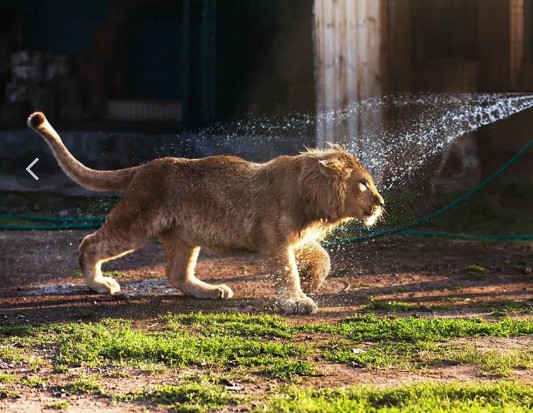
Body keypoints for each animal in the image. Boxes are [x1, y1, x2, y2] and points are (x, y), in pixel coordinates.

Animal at [27, 112, 382, 312]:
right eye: (364, 184)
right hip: (135, 222)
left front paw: (310, 282)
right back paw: (99, 284)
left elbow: (323, 258)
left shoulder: (293, 239)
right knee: (90, 243)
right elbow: (286, 271)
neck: (311, 196)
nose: (380, 202)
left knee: (176, 274)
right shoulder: (274, 241)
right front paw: (296, 300)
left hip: (185, 236)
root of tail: (145, 166)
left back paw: (211, 290)